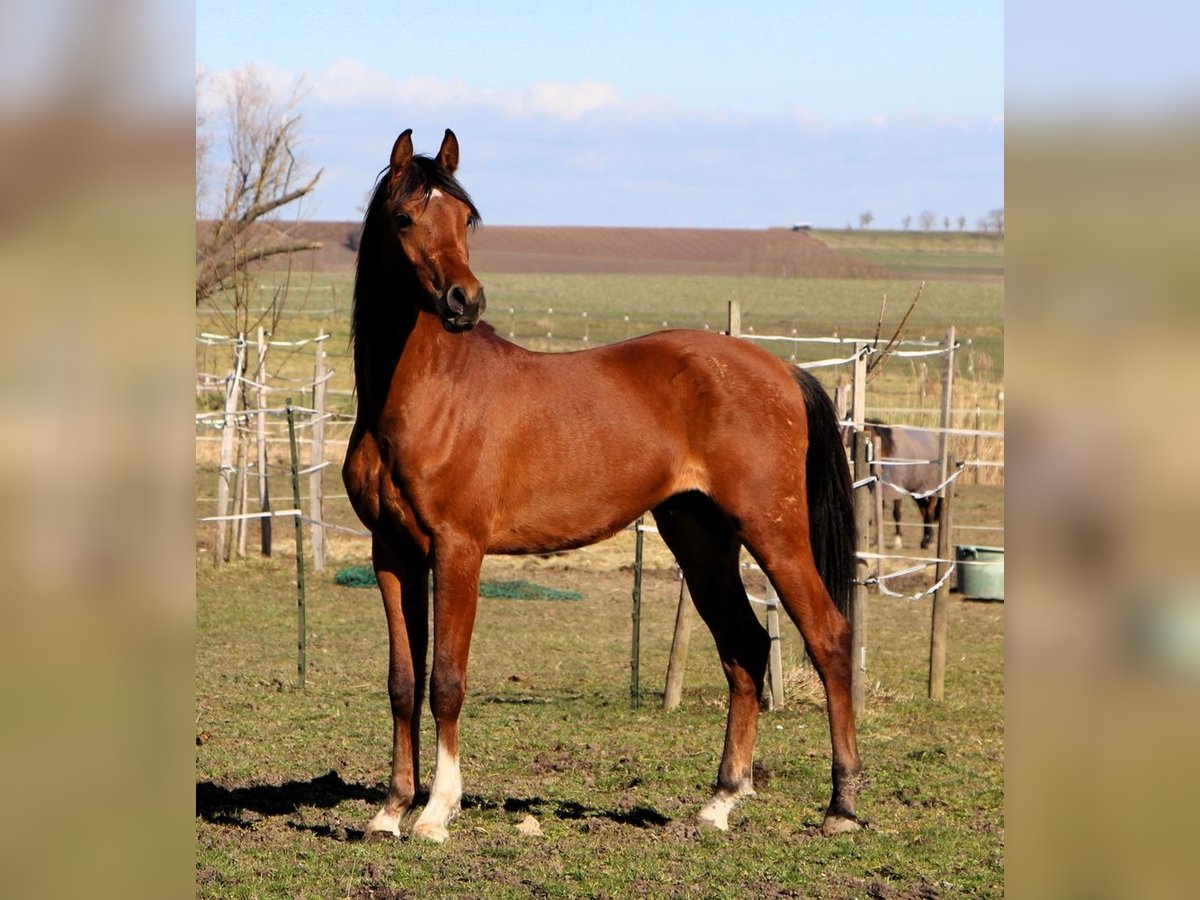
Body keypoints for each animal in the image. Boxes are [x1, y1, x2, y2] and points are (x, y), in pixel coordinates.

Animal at [340, 128, 864, 844]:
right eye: (404, 217)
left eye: (466, 217)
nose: (464, 301)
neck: (424, 399)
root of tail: (781, 369)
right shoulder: (391, 554)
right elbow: (402, 682)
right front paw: (391, 810)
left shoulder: (458, 550)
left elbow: (446, 679)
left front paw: (437, 813)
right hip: (700, 537)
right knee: (745, 648)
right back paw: (720, 803)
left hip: (773, 529)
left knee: (829, 636)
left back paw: (841, 806)